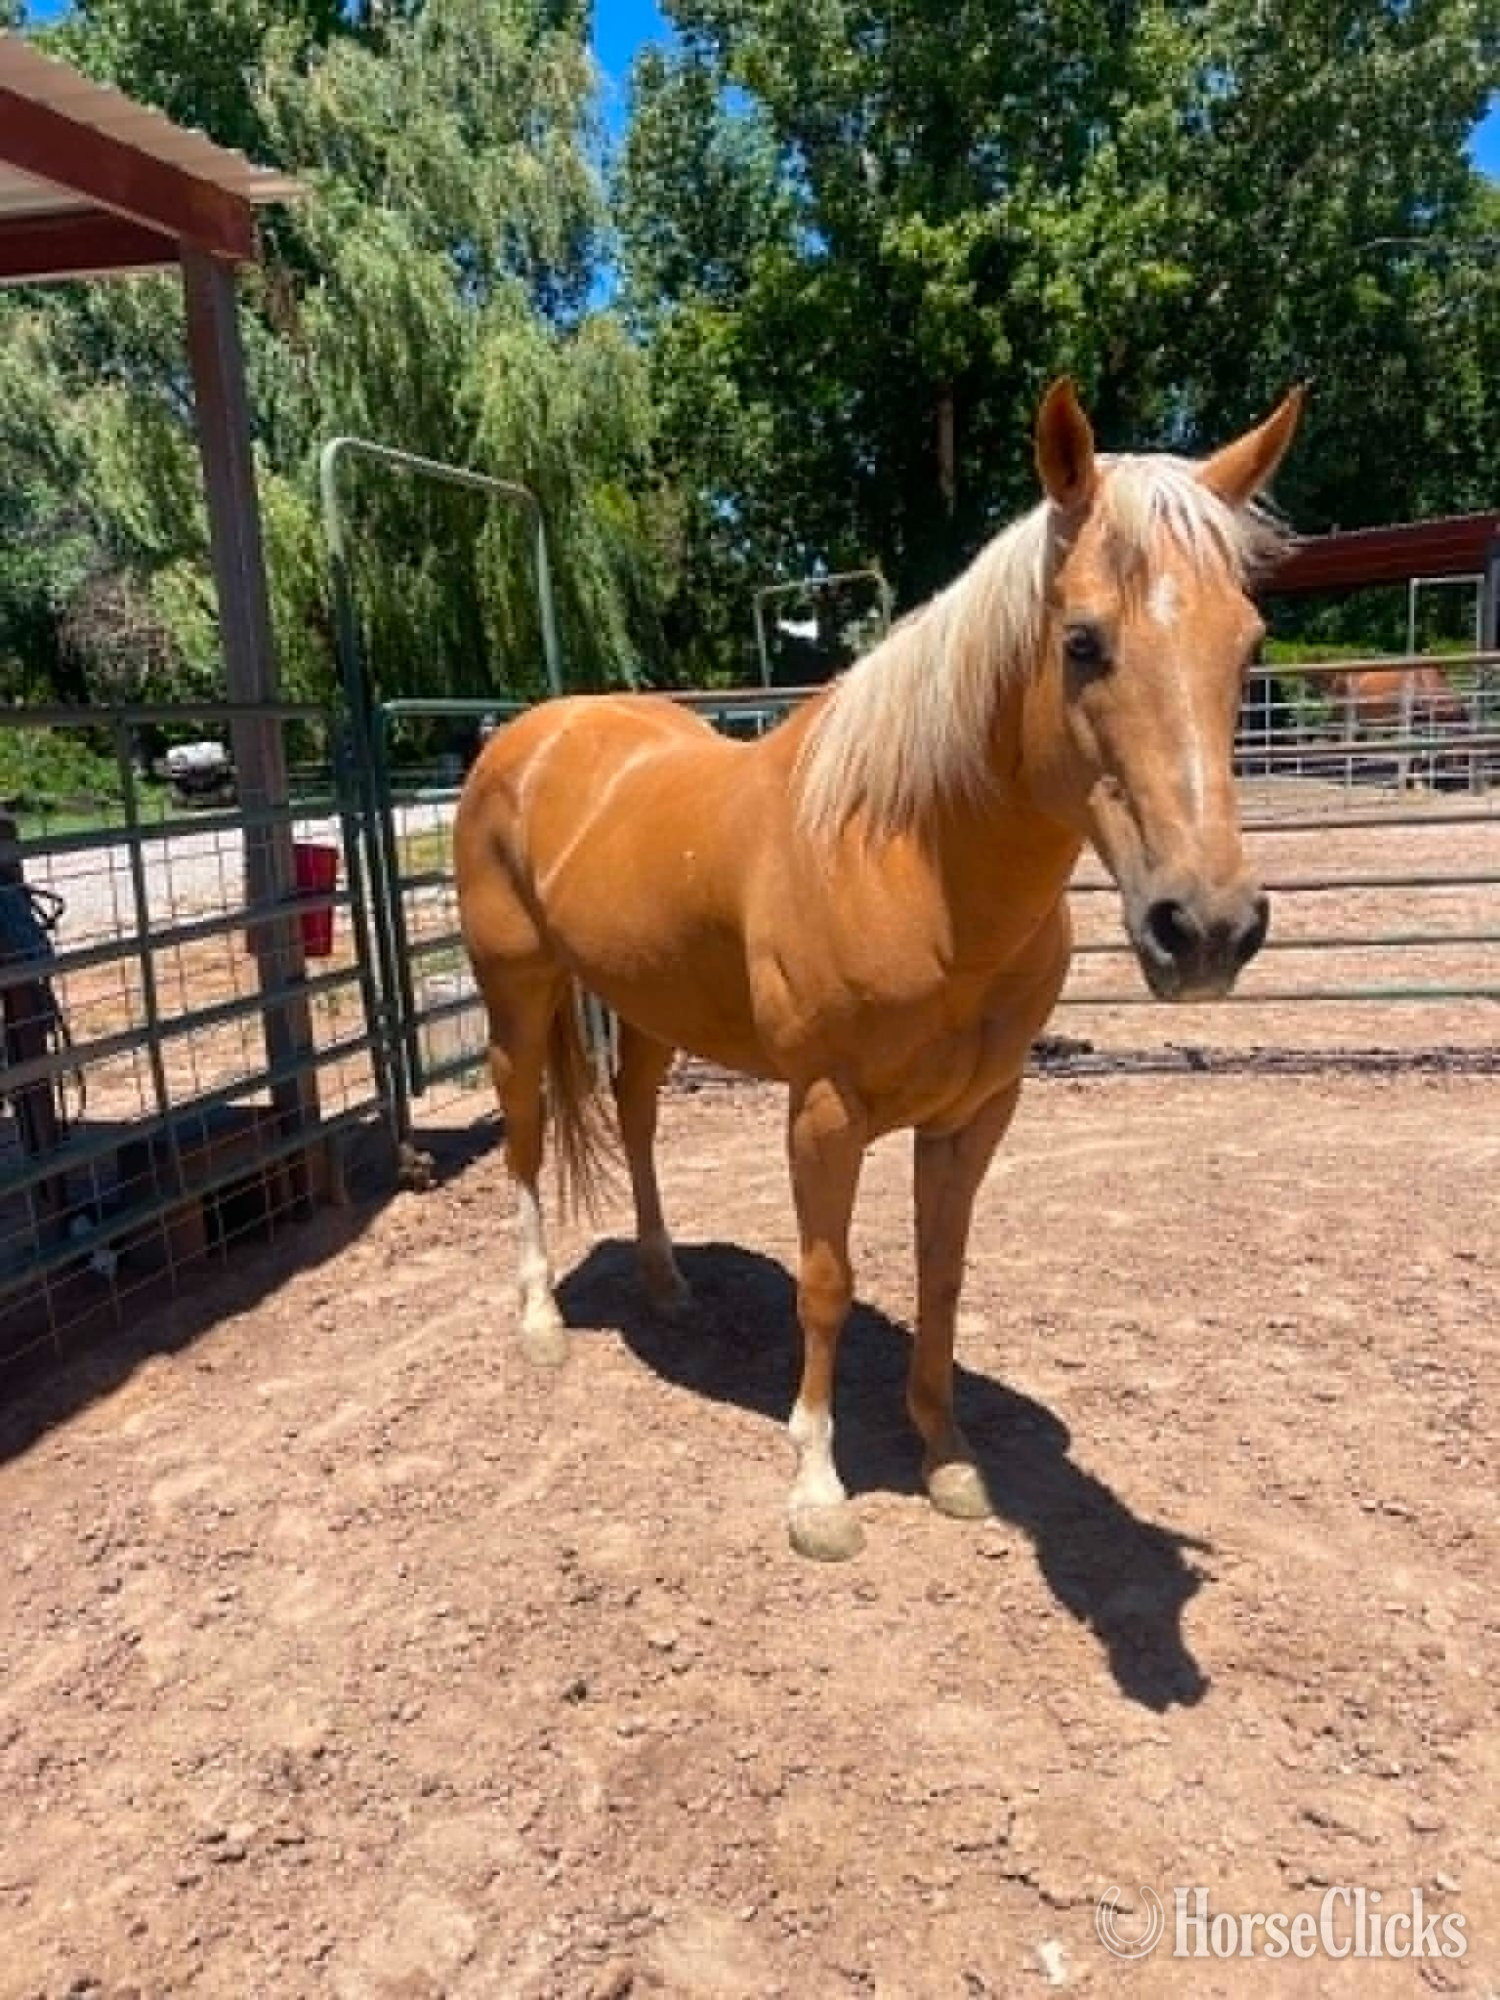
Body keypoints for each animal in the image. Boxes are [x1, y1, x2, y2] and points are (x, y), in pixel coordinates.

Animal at [453, 378, 1303, 1562]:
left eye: (1248, 646)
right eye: (1083, 641)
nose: (1208, 928)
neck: (912, 862)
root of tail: (526, 735)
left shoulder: (977, 1113)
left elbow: (941, 1273)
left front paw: (946, 1455)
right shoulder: (824, 1110)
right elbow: (826, 1282)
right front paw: (818, 1490)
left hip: (650, 1006)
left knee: (634, 1118)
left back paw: (666, 1283)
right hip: (517, 993)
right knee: (526, 1131)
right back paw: (538, 1318)